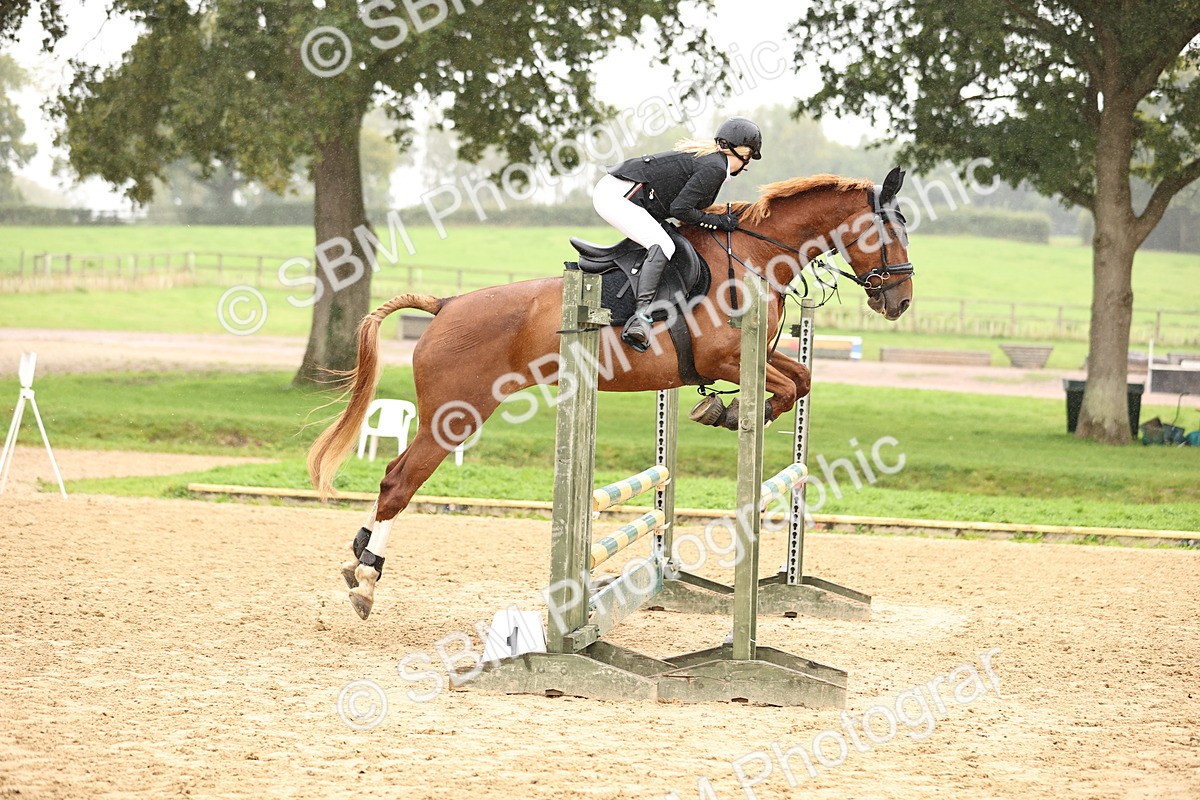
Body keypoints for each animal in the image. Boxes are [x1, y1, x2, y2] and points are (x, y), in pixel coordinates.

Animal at [308, 168, 915, 619]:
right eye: (887, 233)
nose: (901, 302)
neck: (754, 258)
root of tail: (446, 304)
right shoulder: (726, 359)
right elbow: (787, 387)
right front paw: (731, 410)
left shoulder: (757, 358)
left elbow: (801, 380)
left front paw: (725, 408)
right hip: (456, 413)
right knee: (399, 481)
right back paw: (366, 579)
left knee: (395, 476)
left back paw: (357, 558)